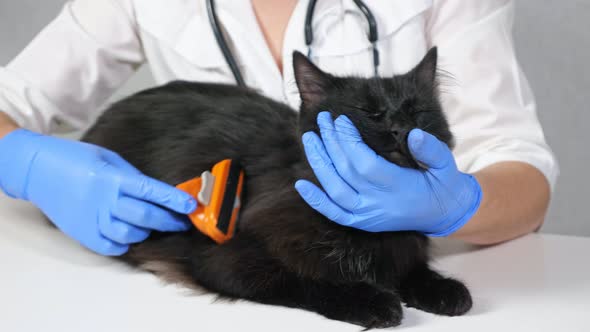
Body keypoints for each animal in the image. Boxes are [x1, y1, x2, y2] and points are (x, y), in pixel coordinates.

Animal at [82, 48, 472, 328]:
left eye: (416, 112)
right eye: (370, 113)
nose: (400, 128)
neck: (365, 228)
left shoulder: (404, 246)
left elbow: (413, 270)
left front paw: (444, 289)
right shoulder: (228, 260)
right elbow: (309, 281)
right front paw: (372, 300)